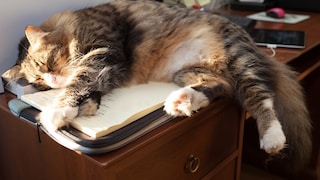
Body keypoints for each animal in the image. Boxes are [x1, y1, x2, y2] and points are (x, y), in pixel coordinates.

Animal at [13, 0, 312, 170]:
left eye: (47, 63)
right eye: (39, 82)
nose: (51, 80)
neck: (77, 25)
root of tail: (250, 41)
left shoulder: (105, 53)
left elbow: (79, 81)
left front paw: (55, 112)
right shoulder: (110, 69)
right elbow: (90, 89)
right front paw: (83, 108)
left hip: (238, 59)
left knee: (260, 96)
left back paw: (272, 137)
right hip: (191, 72)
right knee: (221, 87)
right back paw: (183, 101)